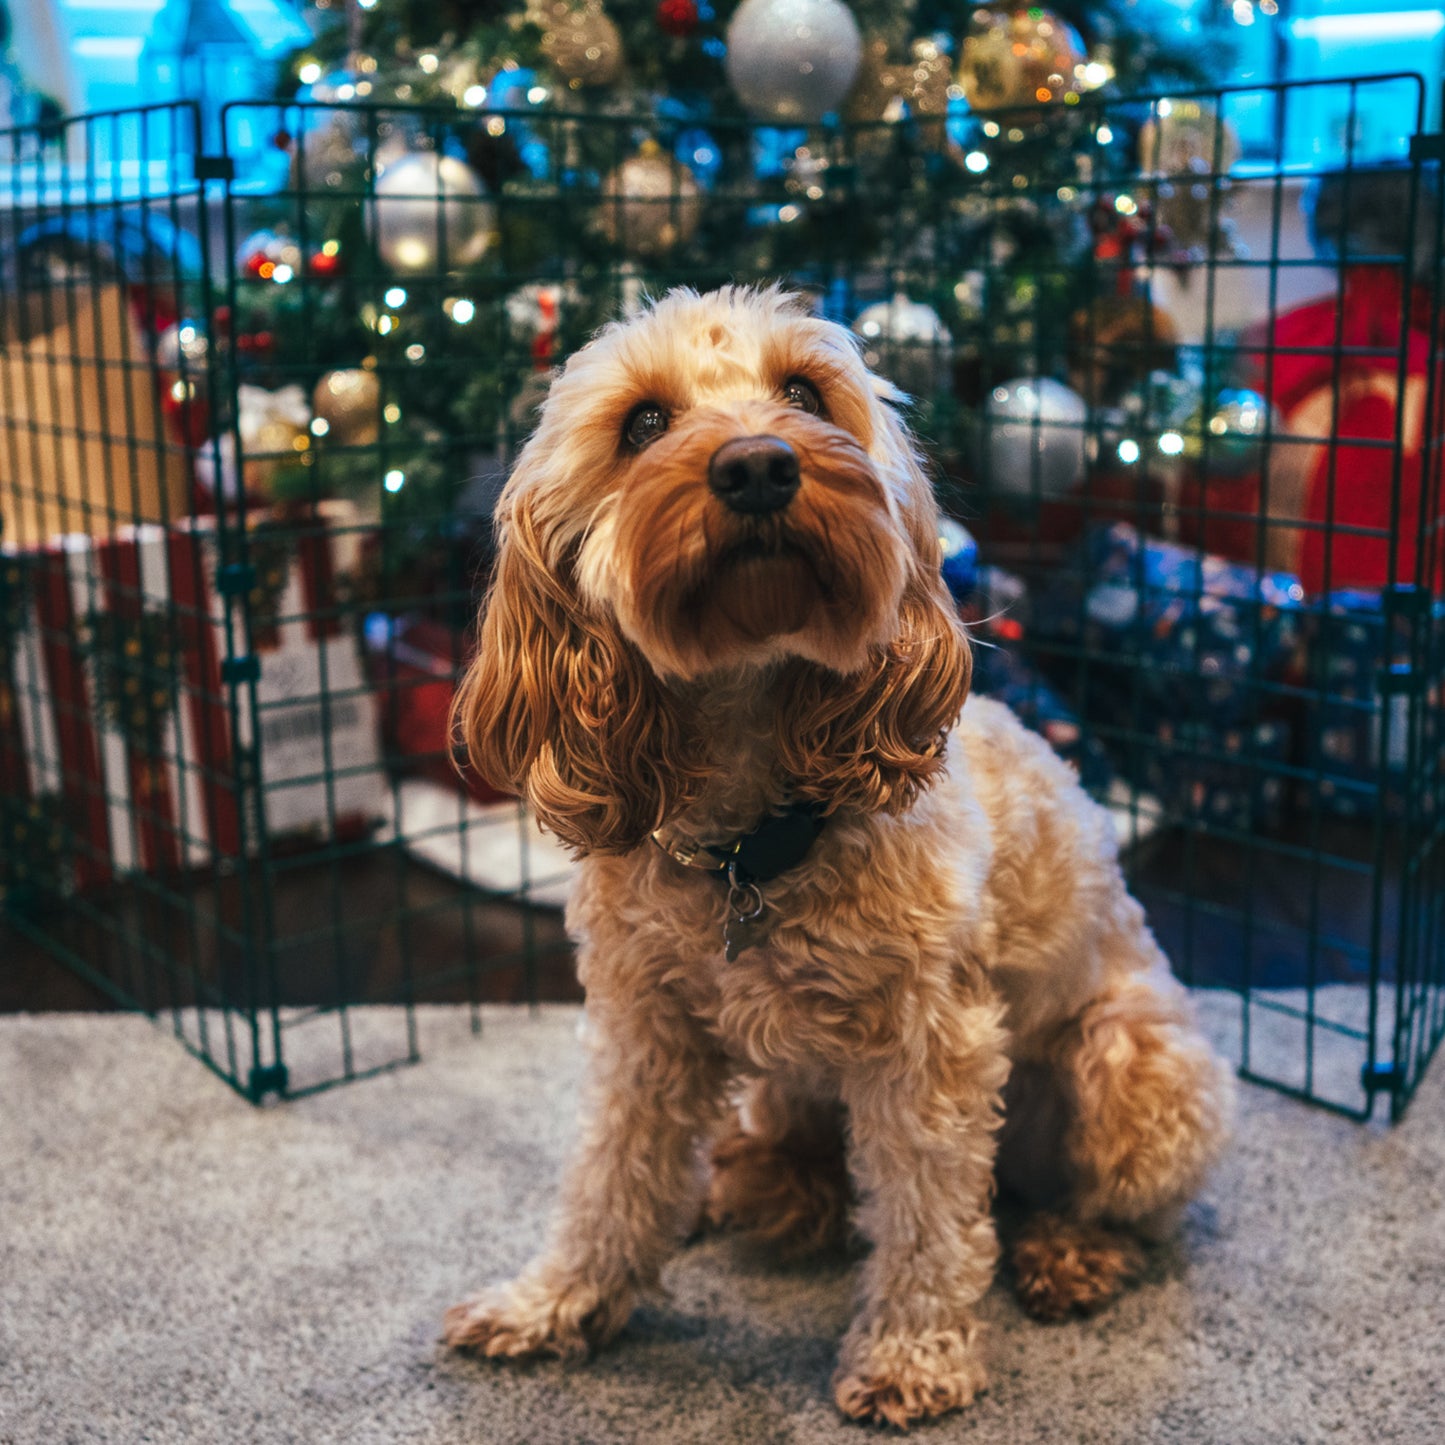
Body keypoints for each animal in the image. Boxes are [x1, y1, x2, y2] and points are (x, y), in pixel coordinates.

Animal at [442, 287, 1231, 1427]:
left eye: (807, 394)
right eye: (641, 423)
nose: (758, 466)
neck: (748, 837)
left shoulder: (931, 1048)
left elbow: (927, 1217)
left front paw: (911, 1355)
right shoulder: (644, 1029)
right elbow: (609, 1178)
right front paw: (556, 1301)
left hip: (1135, 1072)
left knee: (1100, 1202)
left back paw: (1067, 1250)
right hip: (790, 1084)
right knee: (794, 1160)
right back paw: (747, 1181)